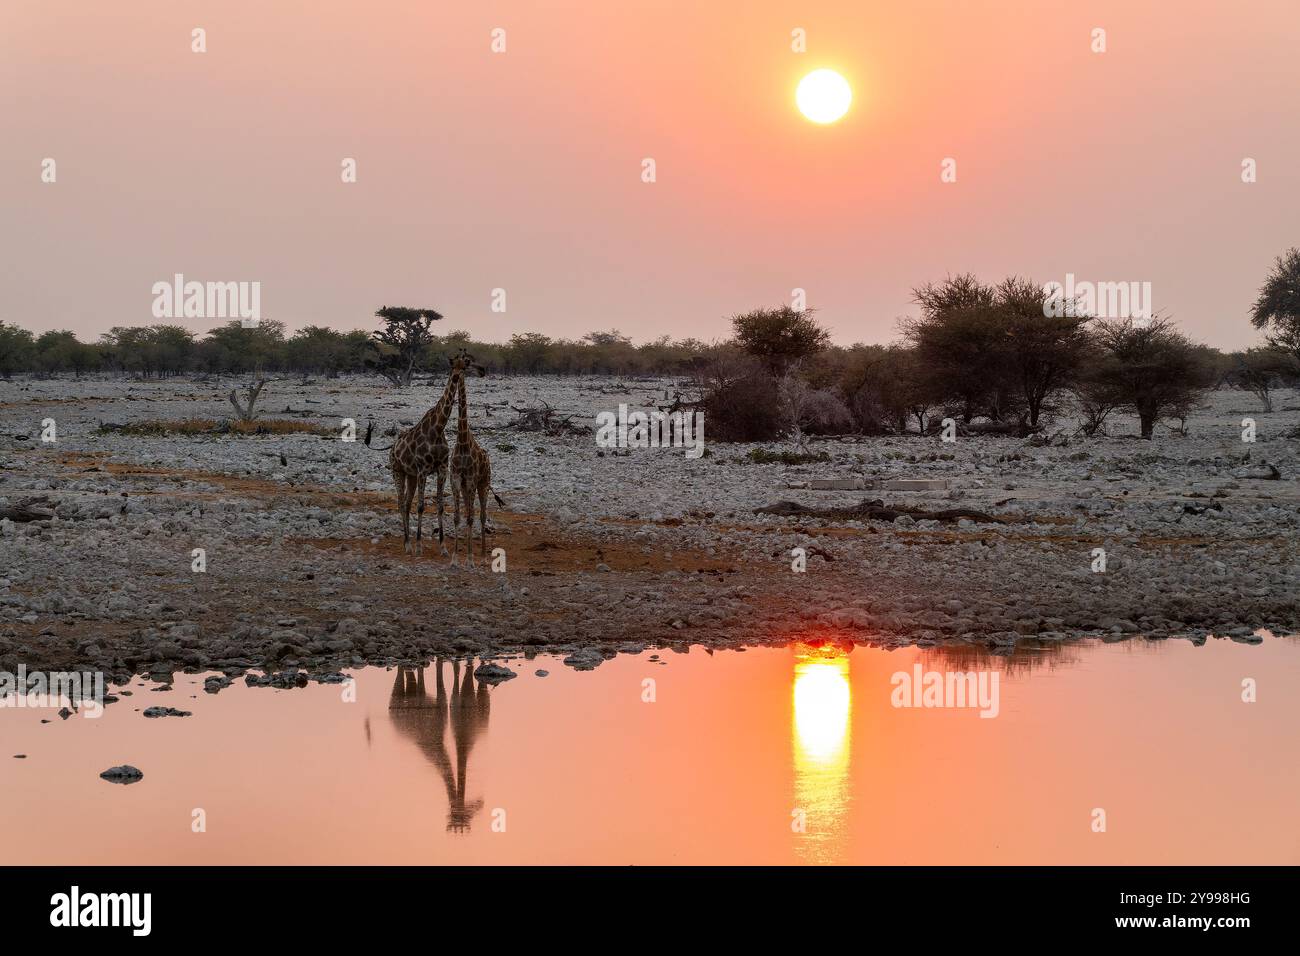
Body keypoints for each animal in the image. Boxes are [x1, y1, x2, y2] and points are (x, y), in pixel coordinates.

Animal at [374, 351, 486, 561]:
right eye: (465, 362)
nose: (483, 370)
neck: (438, 427)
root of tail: (392, 448)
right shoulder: (423, 470)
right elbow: (421, 506)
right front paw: (419, 547)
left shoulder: (441, 469)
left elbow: (440, 506)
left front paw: (443, 548)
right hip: (398, 471)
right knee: (401, 503)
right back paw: (408, 544)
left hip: (410, 475)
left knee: (406, 503)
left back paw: (408, 542)